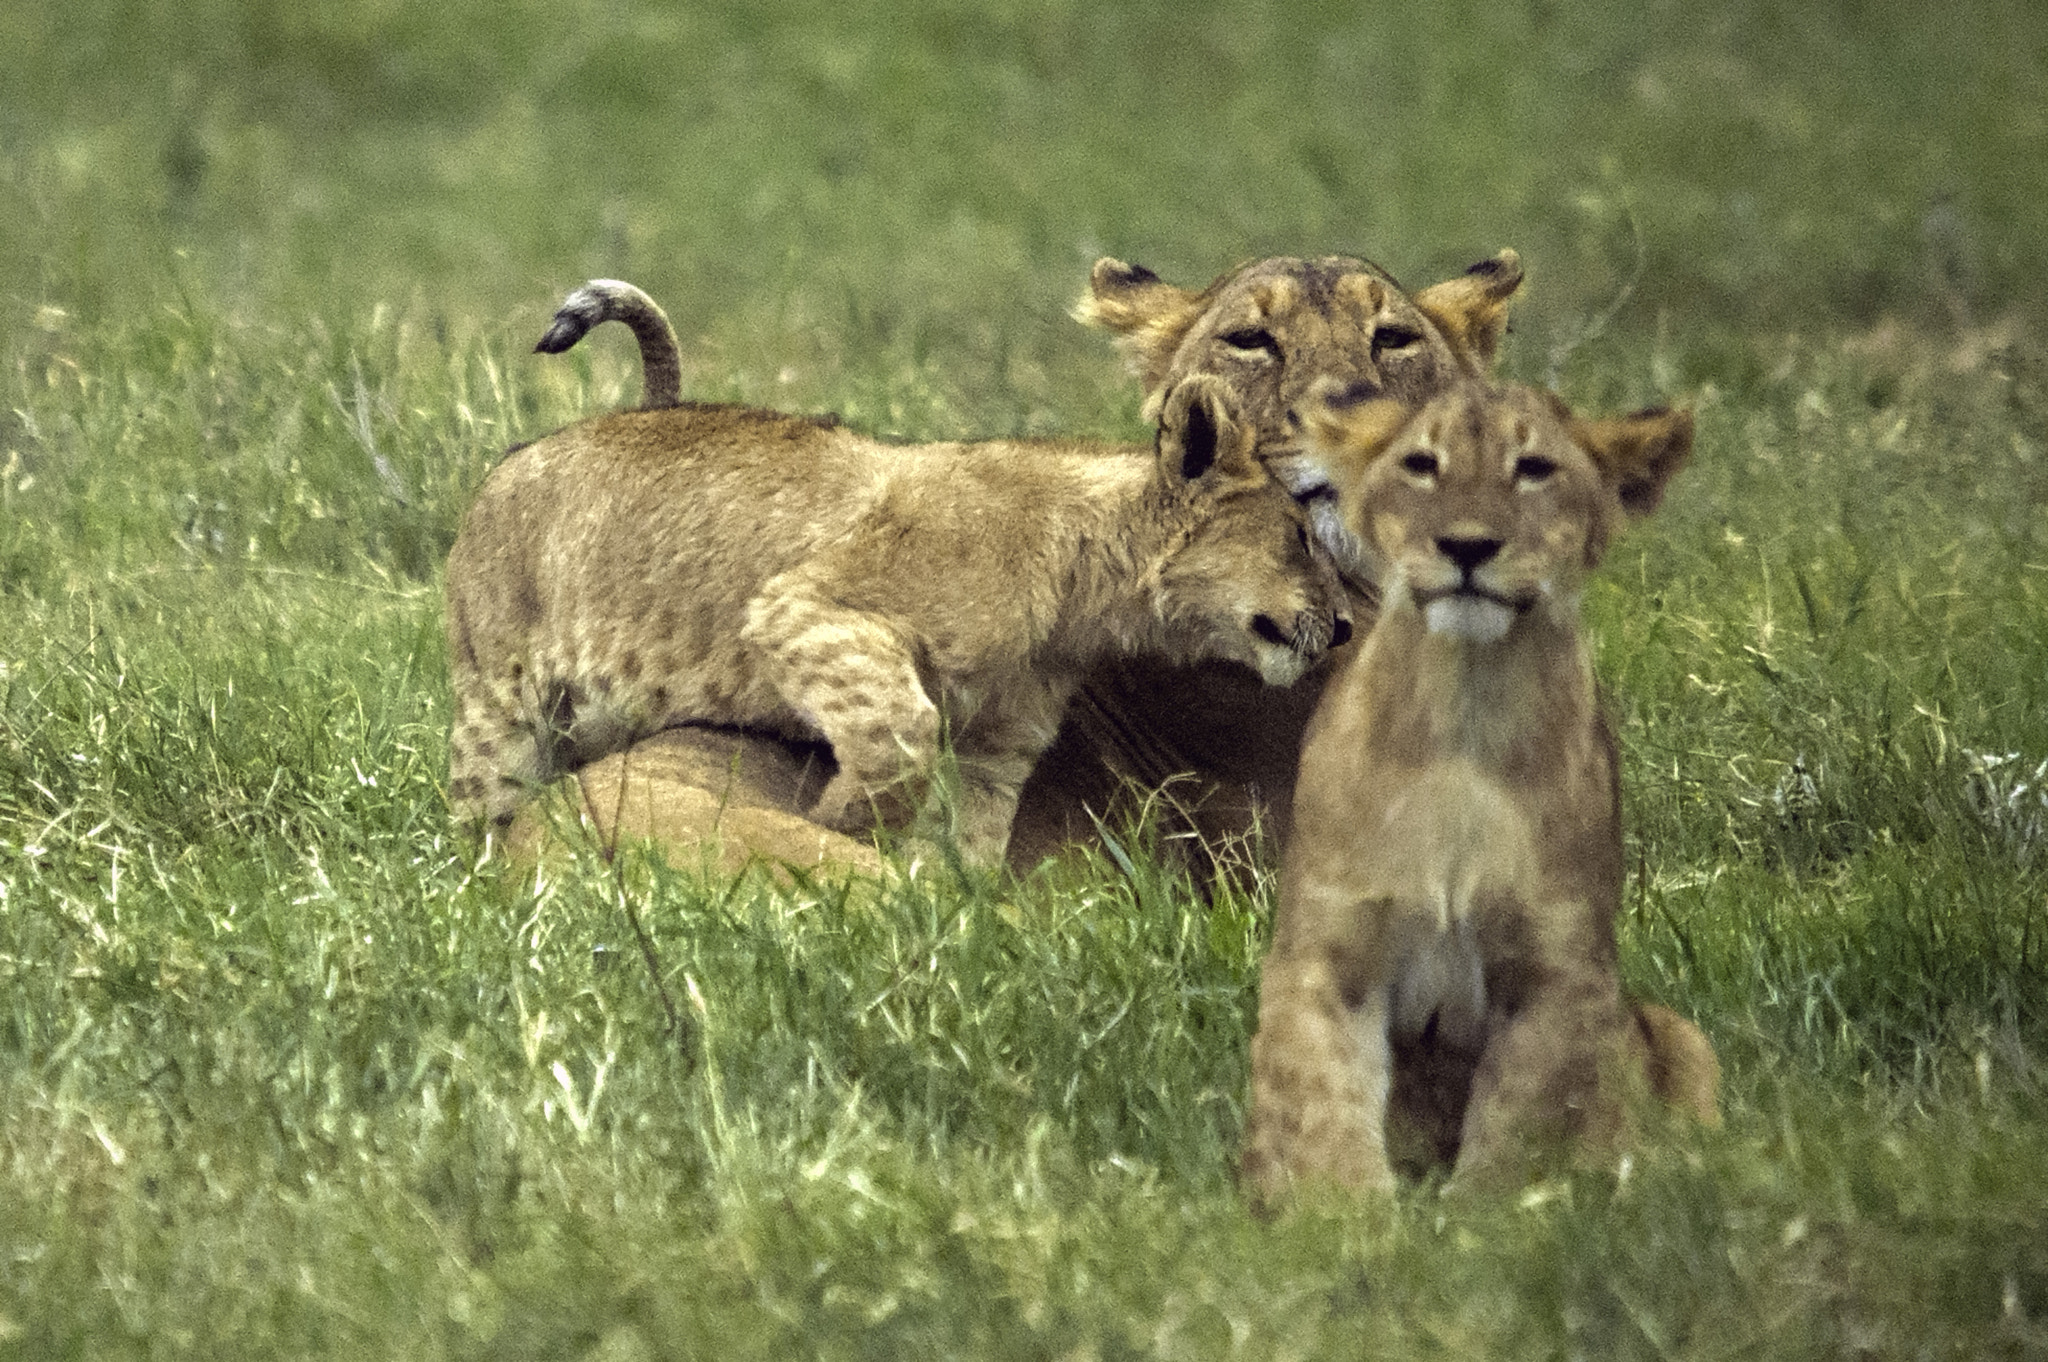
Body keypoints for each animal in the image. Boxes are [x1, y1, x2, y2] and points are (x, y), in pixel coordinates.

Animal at [446, 284, 1351, 867]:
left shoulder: (1001, 741)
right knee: (479, 812)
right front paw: (843, 822)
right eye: (1301, 535)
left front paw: (953, 908)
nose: (1343, 627)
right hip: (498, 701)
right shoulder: (806, 609)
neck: (1087, 587)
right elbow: (900, 734)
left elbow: (977, 835)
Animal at [1238, 377, 1714, 1201]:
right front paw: (1343, 1219)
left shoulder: (1558, 969)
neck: (1465, 704)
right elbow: (1318, 1109)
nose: (1465, 546)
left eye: (1534, 469)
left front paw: (1490, 1216)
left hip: (1679, 1035)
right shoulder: (1328, 954)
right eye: (1422, 465)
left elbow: (1522, 1123)